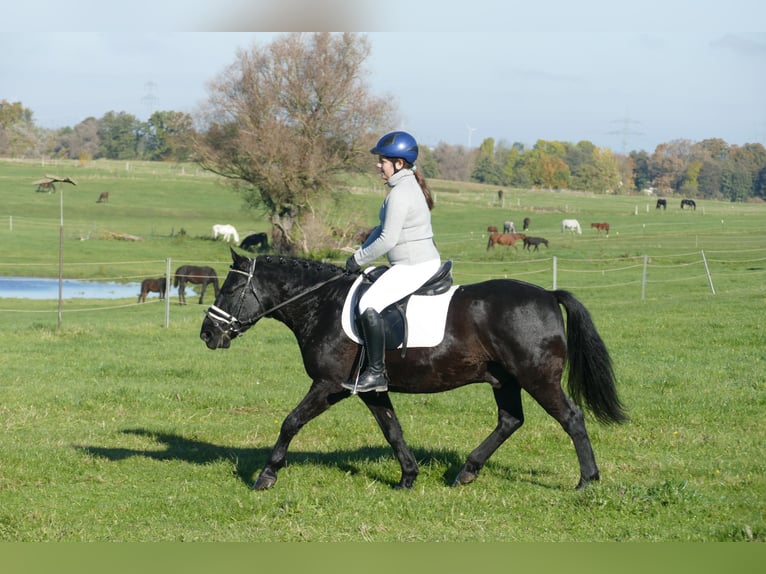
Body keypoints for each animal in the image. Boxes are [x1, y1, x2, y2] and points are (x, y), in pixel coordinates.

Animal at [200, 253, 632, 496]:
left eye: (230, 289)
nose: (207, 334)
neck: (322, 304)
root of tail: (547, 295)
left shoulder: (328, 385)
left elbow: (290, 422)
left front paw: (266, 476)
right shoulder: (369, 389)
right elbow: (392, 430)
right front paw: (408, 477)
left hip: (538, 379)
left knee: (571, 418)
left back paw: (587, 481)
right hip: (505, 380)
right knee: (510, 420)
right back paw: (466, 473)